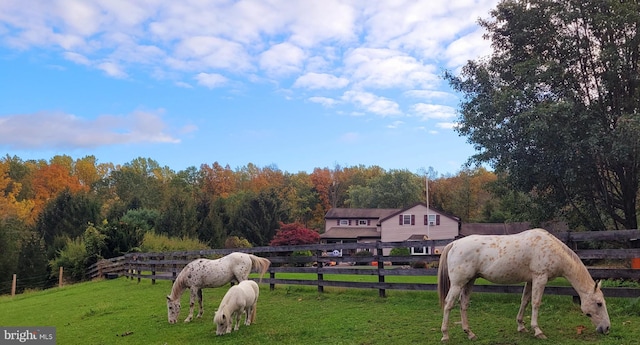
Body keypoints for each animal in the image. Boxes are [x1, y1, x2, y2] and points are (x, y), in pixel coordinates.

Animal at [436, 227, 608, 340]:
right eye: (599, 303)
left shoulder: (530, 280)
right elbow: (536, 303)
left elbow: (525, 301)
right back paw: (445, 335)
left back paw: (470, 333)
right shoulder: (540, 278)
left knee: (463, 304)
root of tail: (454, 244)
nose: (606, 328)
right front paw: (538, 331)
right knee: (448, 304)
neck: (553, 249)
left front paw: (521, 326)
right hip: (458, 284)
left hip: (469, 281)